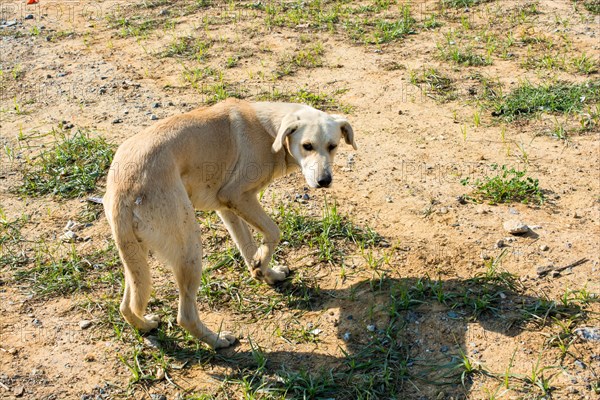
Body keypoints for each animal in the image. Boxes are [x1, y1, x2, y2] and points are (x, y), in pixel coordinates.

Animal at [103, 98, 356, 348]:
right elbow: (274, 232)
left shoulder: (227, 207)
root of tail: (122, 190)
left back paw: (145, 325)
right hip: (189, 248)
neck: (270, 131)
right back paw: (217, 341)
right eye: (307, 146)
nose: (324, 181)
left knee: (126, 305)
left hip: (135, 256)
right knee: (185, 316)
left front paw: (265, 272)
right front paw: (263, 266)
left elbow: (248, 247)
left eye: (332, 146)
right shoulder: (238, 196)